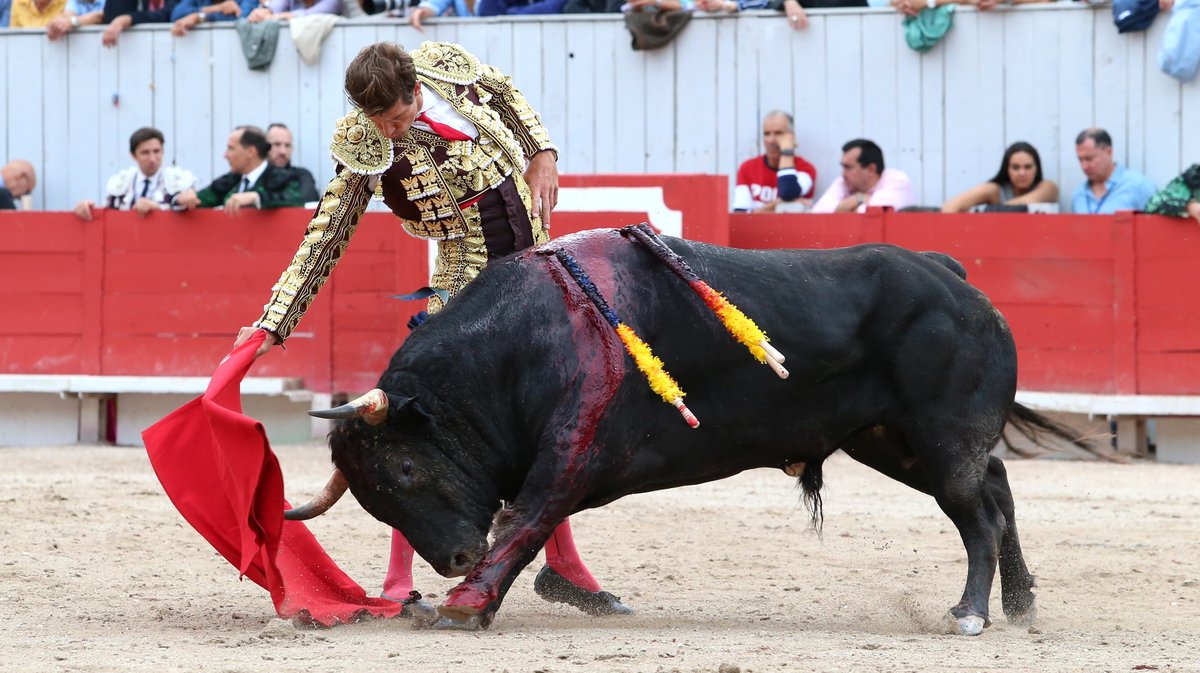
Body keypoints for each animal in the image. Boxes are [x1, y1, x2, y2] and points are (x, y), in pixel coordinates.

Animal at [307, 227, 1080, 633]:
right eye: (377, 499)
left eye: (406, 469)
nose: (454, 559)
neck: (515, 347)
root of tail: (949, 274)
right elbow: (523, 525)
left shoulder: (573, 453)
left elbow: (522, 522)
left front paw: (465, 605)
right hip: (893, 440)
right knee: (998, 488)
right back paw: (1020, 602)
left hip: (943, 438)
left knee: (978, 513)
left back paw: (970, 612)